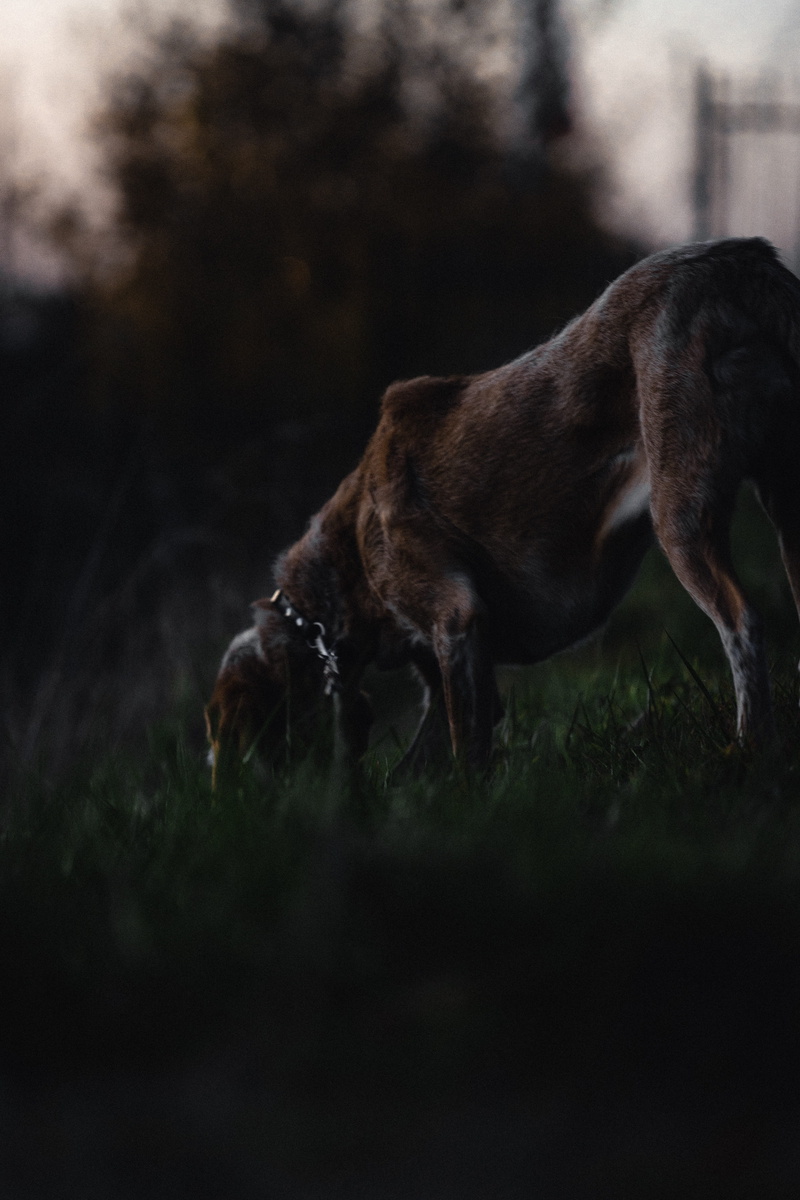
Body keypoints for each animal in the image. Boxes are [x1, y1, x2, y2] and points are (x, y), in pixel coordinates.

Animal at [205, 237, 800, 784]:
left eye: (220, 732)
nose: (218, 789)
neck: (344, 553)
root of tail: (740, 259)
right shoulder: (458, 659)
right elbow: (431, 755)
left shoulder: (454, 621)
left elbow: (463, 748)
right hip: (784, 507)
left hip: (679, 514)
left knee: (742, 624)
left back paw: (749, 751)